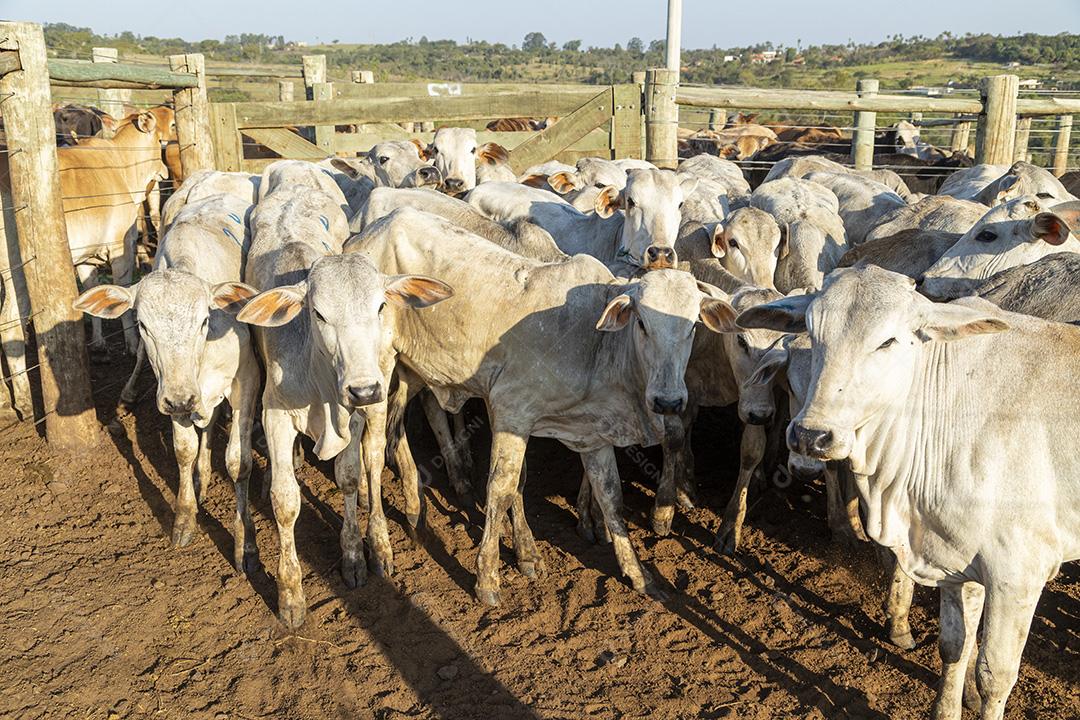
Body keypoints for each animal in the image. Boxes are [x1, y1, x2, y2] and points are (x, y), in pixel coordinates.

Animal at [72, 193, 260, 574]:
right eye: (143, 325)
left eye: (204, 320)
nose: (181, 401)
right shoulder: (175, 391)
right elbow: (183, 451)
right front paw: (185, 518)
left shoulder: (246, 381)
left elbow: (239, 463)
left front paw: (244, 542)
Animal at [346, 206, 737, 606]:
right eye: (642, 323)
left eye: (692, 326)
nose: (668, 400)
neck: (596, 344)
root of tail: (368, 233)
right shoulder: (511, 411)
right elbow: (502, 488)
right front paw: (488, 577)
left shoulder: (591, 435)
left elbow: (609, 497)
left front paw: (636, 574)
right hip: (377, 371)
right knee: (373, 450)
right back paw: (379, 546)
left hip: (411, 369)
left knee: (400, 430)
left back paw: (414, 508)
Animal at [737, 264, 1080, 720]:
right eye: (811, 329)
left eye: (887, 340)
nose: (812, 435)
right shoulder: (956, 559)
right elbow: (954, 645)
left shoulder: (1018, 576)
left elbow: (995, 677)